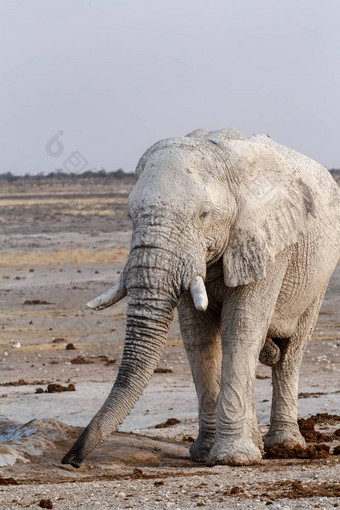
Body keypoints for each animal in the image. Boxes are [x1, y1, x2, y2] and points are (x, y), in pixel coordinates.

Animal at [61, 127, 340, 466]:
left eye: (203, 214)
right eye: (129, 216)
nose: (70, 459)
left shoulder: (268, 242)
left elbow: (242, 327)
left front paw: (232, 459)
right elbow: (198, 335)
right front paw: (206, 453)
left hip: (320, 275)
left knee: (290, 352)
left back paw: (285, 447)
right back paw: (258, 446)